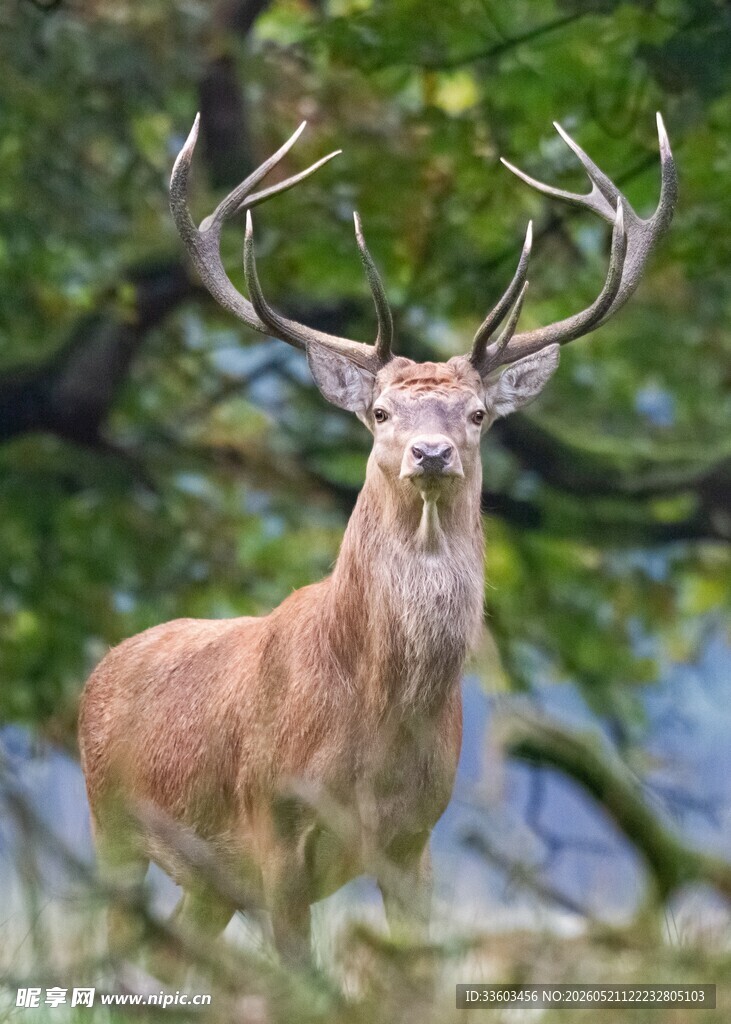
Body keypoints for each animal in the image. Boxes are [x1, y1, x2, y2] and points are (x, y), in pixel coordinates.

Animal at [79, 114, 676, 964]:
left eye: (477, 414)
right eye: (381, 412)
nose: (431, 453)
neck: (374, 723)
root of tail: (101, 669)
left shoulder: (414, 839)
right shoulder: (273, 830)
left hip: (205, 881)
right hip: (112, 826)